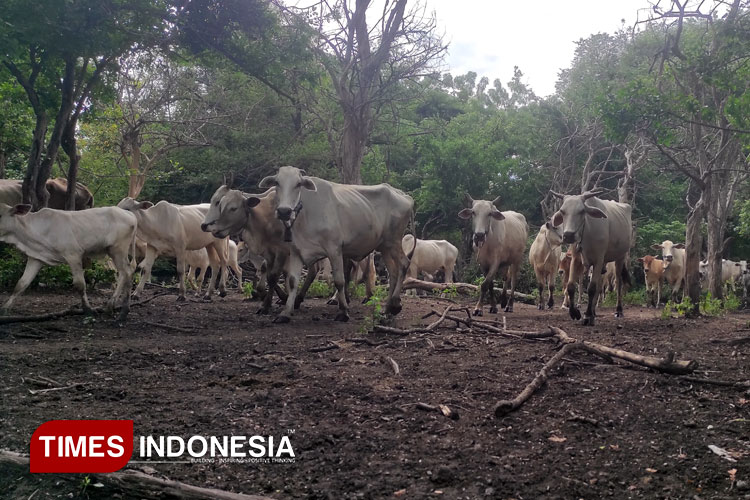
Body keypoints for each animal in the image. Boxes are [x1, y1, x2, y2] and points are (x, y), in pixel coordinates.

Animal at [0, 203, 136, 320]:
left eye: (0, 215)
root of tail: (129, 214)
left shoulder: (73, 254)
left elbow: (80, 284)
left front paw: (88, 310)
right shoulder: (36, 258)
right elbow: (21, 284)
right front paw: (4, 309)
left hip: (118, 249)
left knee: (126, 272)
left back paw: (121, 311)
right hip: (114, 251)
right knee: (125, 272)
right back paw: (112, 308)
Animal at [254, 166, 418, 322]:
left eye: (298, 184)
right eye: (277, 183)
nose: (284, 211)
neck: (306, 215)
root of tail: (403, 194)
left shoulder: (334, 249)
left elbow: (339, 280)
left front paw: (343, 311)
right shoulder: (296, 251)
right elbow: (293, 281)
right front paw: (285, 313)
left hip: (394, 241)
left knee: (404, 264)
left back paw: (395, 304)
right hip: (385, 247)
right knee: (393, 272)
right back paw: (388, 308)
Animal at [552, 189, 636, 326]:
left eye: (582, 211)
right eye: (562, 211)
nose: (568, 235)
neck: (586, 232)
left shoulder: (598, 260)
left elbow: (591, 288)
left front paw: (587, 316)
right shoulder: (576, 259)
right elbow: (571, 286)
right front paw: (575, 312)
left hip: (620, 257)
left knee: (618, 282)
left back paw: (618, 310)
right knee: (599, 287)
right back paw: (593, 312)